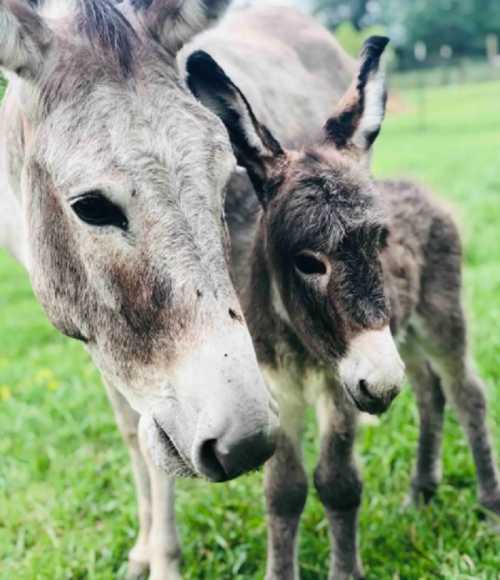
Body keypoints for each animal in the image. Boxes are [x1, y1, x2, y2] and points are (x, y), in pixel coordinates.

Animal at [188, 38, 500, 576]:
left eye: (380, 241)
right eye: (308, 262)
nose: (382, 384)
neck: (300, 343)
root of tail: (418, 188)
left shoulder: (340, 388)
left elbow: (337, 482)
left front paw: (346, 569)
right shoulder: (280, 386)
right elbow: (284, 490)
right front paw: (280, 570)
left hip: (439, 319)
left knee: (467, 394)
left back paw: (490, 505)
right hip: (405, 336)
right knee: (429, 393)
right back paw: (421, 492)